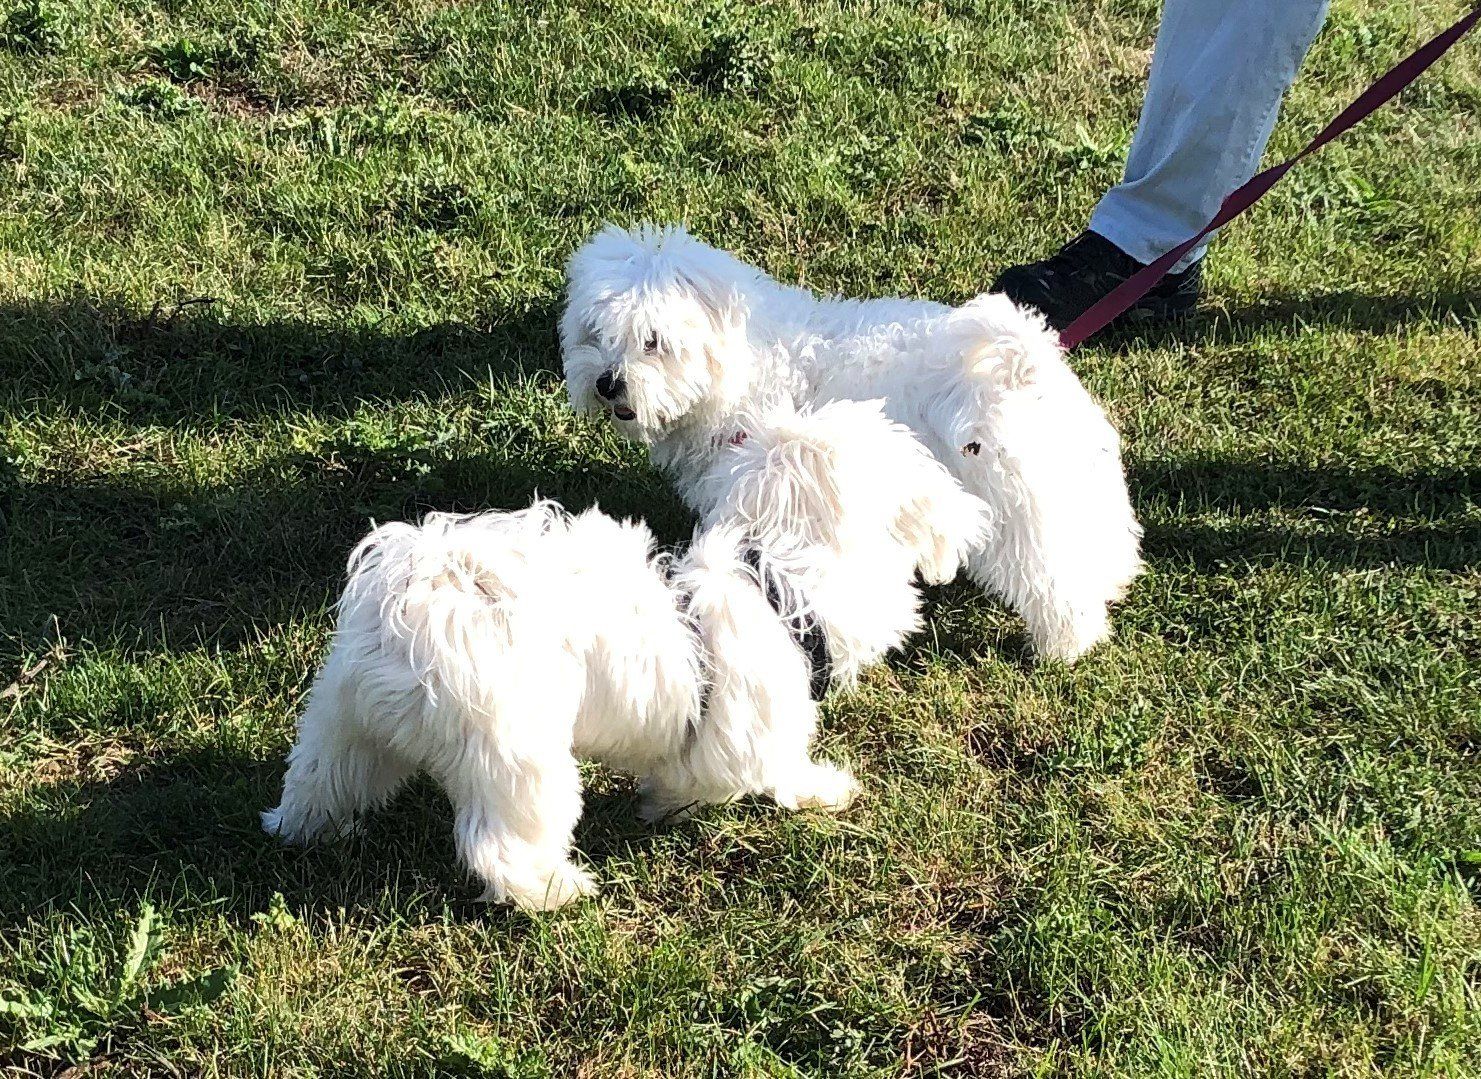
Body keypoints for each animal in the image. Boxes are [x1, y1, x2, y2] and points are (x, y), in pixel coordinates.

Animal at [262, 399, 989, 905]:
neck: (776, 577)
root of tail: (422, 592)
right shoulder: (758, 729)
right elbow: (771, 770)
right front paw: (822, 789)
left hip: (343, 720)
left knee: (321, 779)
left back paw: (303, 829)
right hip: (518, 756)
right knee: (501, 846)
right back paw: (554, 891)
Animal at [559, 223, 1137, 660]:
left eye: (653, 343)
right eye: (596, 335)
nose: (607, 383)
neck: (743, 365)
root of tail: (1026, 365)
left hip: (1023, 507)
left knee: (1056, 581)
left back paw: (1065, 647)